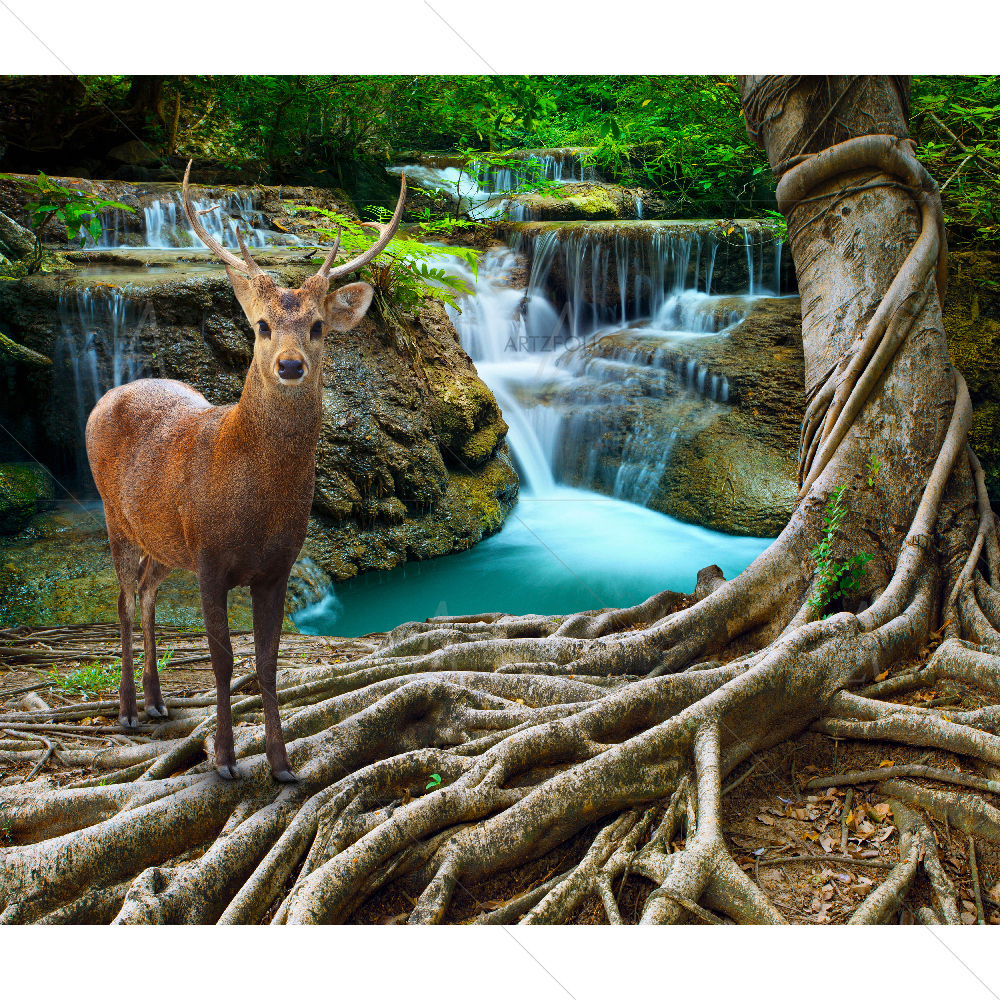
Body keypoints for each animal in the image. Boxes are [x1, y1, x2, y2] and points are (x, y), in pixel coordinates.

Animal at [86, 161, 406, 782]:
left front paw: (282, 764)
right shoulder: (210, 558)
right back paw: (129, 710)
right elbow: (222, 658)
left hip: (165, 540)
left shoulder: (276, 567)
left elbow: (267, 660)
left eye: (318, 327)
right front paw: (226, 760)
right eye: (259, 325)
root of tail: (104, 397)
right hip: (115, 515)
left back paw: (158, 702)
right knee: (122, 601)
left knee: (147, 589)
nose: (290, 365)